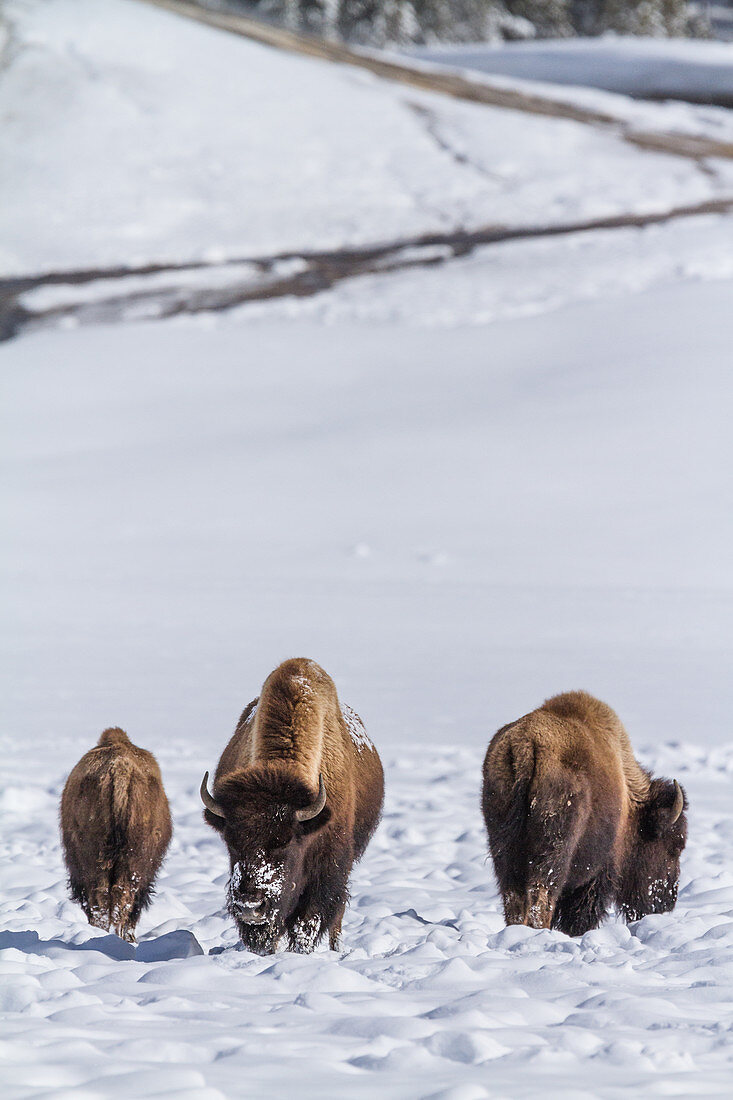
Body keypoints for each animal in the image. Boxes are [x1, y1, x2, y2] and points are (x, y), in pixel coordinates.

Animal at [479, 690, 686, 932]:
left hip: (503, 844)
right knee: (542, 894)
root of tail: (526, 744)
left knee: (513, 894)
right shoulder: (599, 872)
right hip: (555, 849)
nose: (667, 903)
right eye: (674, 847)